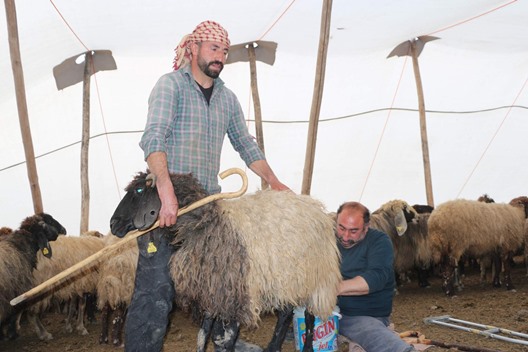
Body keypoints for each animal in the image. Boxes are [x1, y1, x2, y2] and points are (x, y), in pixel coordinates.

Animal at [110, 171, 342, 352]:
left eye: (139, 190)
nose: (113, 224)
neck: (204, 224)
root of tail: (318, 209)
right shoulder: (211, 291)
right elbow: (203, 335)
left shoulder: (234, 293)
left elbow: (227, 339)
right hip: (286, 279)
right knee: (285, 314)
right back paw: (273, 346)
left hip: (316, 278)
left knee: (310, 316)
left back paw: (308, 346)